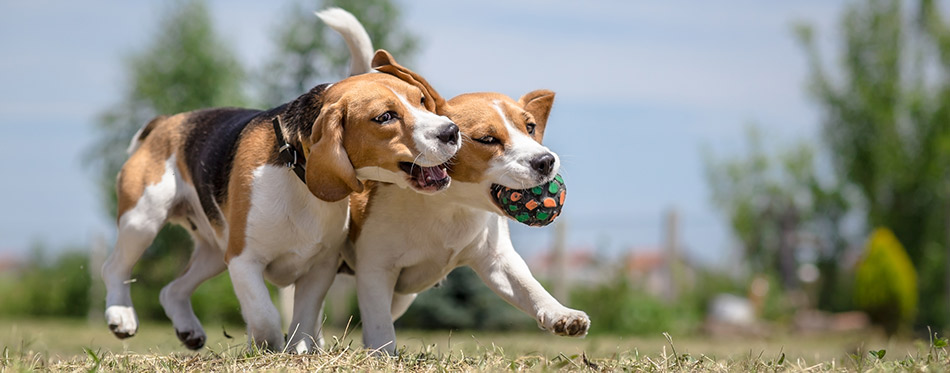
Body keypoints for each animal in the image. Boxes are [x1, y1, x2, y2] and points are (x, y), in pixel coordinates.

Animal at [103, 50, 462, 352]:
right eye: (385, 117)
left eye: (421, 101)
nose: (452, 131)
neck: (296, 171)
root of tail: (168, 121)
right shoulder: (244, 260)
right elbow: (265, 316)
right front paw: (268, 348)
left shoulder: (320, 267)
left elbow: (304, 318)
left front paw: (299, 352)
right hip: (144, 219)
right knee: (115, 267)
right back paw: (121, 316)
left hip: (214, 253)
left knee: (172, 290)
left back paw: (188, 330)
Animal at [320, 7, 588, 354]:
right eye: (487, 139)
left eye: (530, 127)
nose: (545, 161)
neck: (449, 205)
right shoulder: (375, 270)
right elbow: (379, 325)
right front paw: (383, 354)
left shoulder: (497, 259)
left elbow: (528, 286)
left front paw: (560, 314)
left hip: (403, 296)